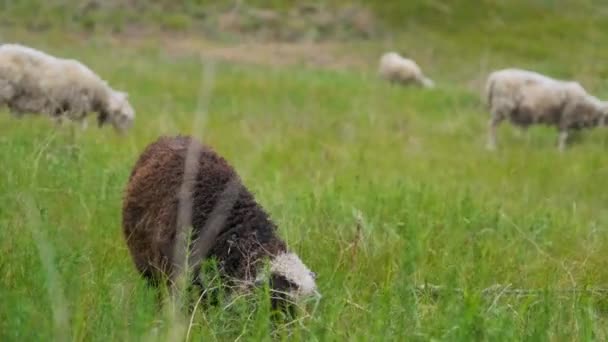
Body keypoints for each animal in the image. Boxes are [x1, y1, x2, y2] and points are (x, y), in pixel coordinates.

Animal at [0, 43, 134, 132]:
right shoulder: (76, 108)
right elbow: (80, 127)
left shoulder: (59, 109)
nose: (125, 136)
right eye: (124, 116)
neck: (97, 93)